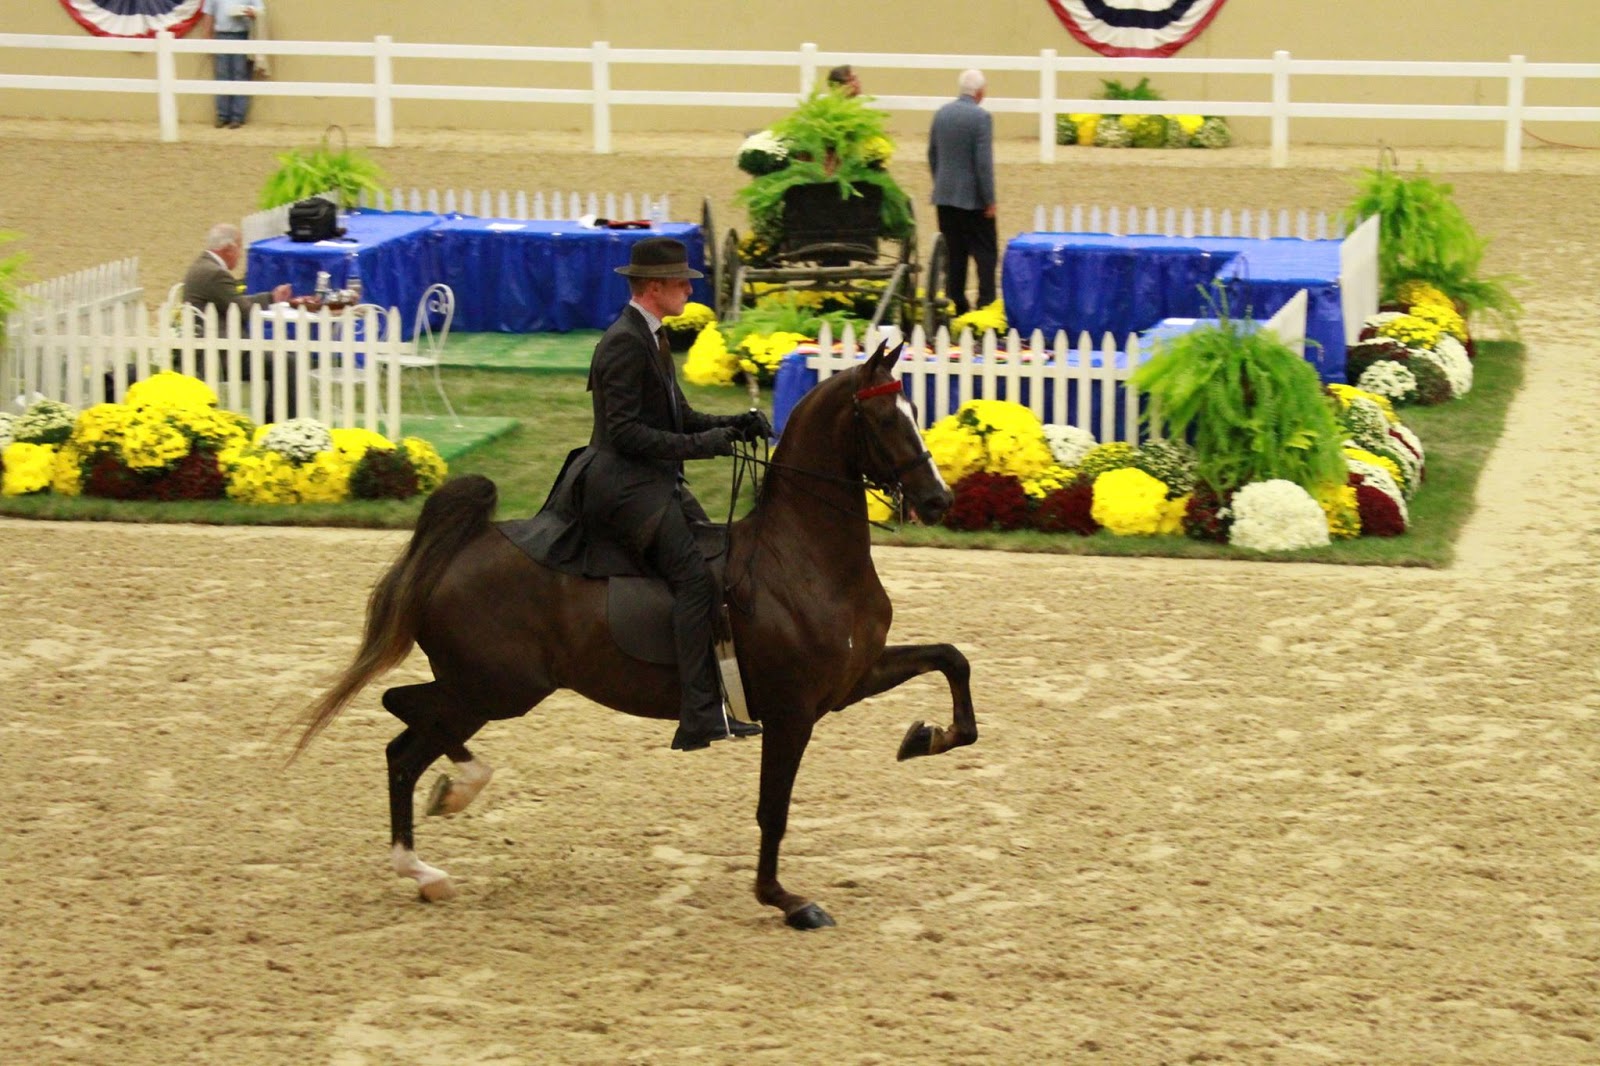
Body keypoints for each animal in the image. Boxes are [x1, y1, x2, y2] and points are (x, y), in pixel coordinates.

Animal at [294, 340, 979, 929]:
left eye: (916, 413)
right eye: (886, 420)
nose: (939, 500)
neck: (803, 556)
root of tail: (464, 548)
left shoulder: (849, 680)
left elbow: (953, 661)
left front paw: (925, 737)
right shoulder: (792, 712)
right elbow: (773, 810)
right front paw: (785, 900)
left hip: (485, 690)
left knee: (404, 739)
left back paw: (433, 850)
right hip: (495, 689)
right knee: (405, 726)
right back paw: (447, 818)